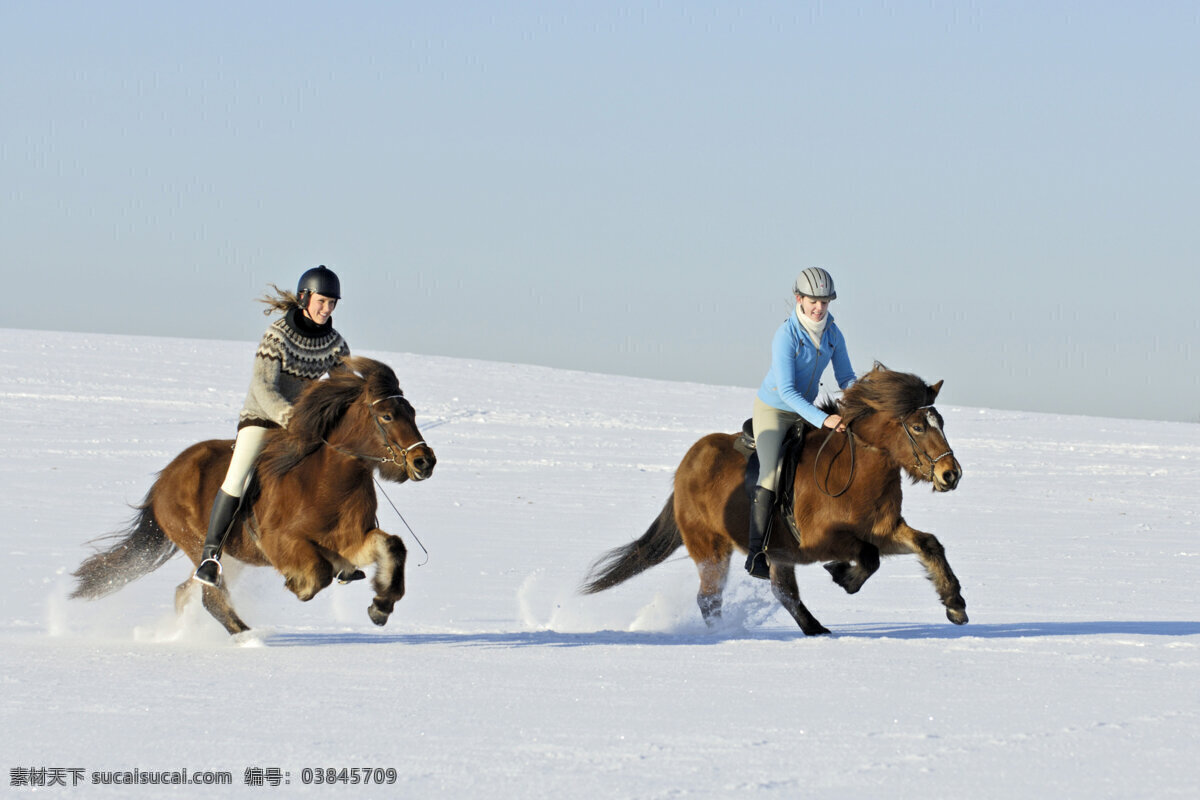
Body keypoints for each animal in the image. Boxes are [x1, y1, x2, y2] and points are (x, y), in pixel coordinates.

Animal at [71, 357, 436, 638]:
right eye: (387, 415)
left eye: (413, 412)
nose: (425, 461)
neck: (327, 482)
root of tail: (164, 479)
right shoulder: (282, 542)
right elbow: (318, 571)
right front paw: (300, 585)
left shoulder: (348, 540)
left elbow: (392, 545)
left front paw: (381, 605)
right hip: (199, 544)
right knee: (210, 595)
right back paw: (246, 637)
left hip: (228, 557)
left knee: (186, 592)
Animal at [585, 367, 969, 633]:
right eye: (918, 427)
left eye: (941, 422)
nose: (951, 474)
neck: (857, 470)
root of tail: (686, 465)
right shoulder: (821, 540)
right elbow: (868, 557)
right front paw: (842, 574)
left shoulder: (883, 530)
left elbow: (928, 544)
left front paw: (955, 604)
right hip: (711, 548)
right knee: (710, 598)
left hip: (775, 554)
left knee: (782, 592)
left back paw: (816, 630)